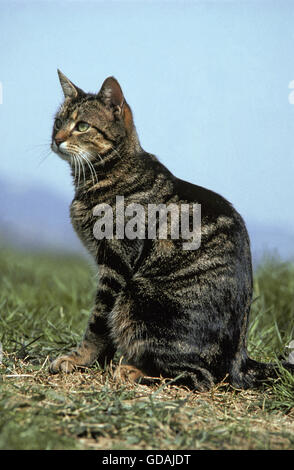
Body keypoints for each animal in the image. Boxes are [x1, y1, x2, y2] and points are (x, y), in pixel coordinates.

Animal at [49, 71, 292, 392]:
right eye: (58, 122)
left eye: (82, 126)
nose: (56, 140)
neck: (101, 175)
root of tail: (241, 359)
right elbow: (107, 333)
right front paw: (98, 362)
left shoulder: (115, 263)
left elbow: (98, 323)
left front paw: (79, 359)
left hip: (136, 298)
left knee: (198, 377)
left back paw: (132, 371)